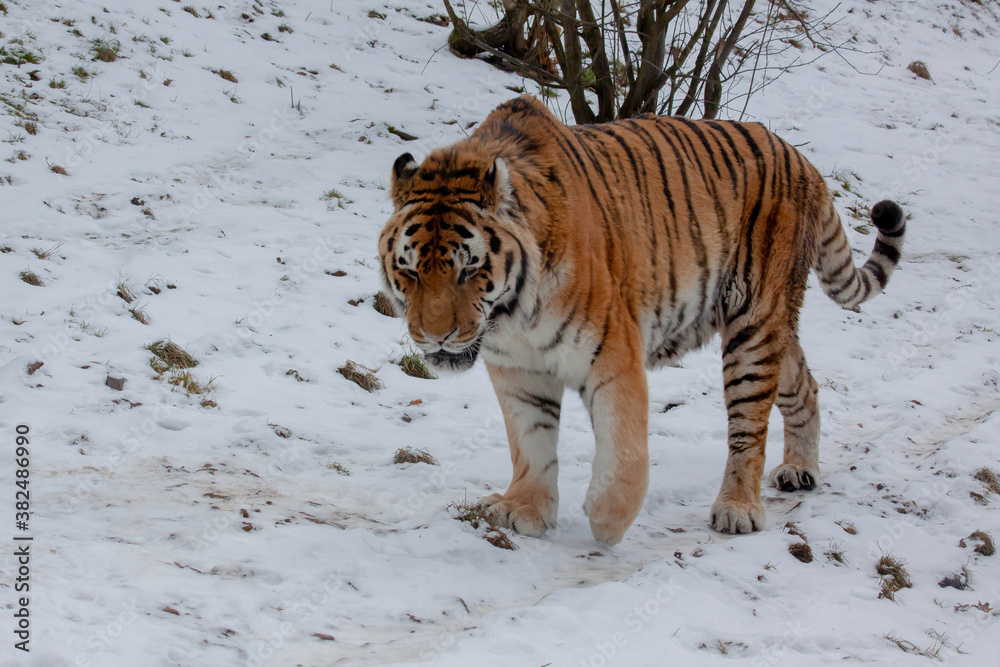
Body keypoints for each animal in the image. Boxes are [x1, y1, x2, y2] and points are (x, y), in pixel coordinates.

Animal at [377, 95, 905, 546]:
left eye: (469, 269)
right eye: (410, 270)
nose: (436, 336)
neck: (513, 317)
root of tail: (800, 158)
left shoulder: (611, 350)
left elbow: (626, 450)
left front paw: (607, 520)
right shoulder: (518, 370)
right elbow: (530, 443)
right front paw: (525, 509)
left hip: (754, 322)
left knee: (748, 425)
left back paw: (738, 508)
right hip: (769, 326)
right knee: (803, 382)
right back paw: (800, 470)